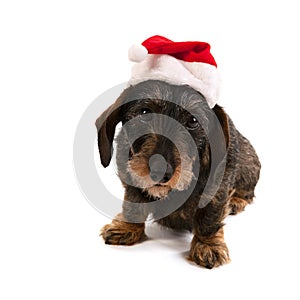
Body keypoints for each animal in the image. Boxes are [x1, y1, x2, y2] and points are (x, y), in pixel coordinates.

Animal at [96, 79, 260, 268]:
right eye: (144, 112)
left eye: (193, 121)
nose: (161, 171)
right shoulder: (132, 178)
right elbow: (133, 203)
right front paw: (126, 227)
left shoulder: (217, 190)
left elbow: (210, 216)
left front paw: (208, 245)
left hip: (248, 167)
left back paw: (236, 201)